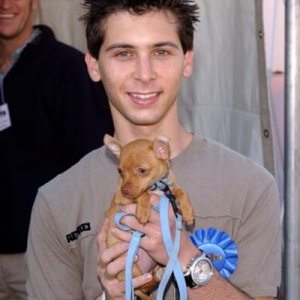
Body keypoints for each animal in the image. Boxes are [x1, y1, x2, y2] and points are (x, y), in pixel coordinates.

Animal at [104, 135, 196, 300]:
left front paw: (187, 211)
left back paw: (161, 273)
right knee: (141, 286)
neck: (158, 186)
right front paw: (143, 211)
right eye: (120, 171)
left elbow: (181, 192)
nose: (124, 189)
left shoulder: (171, 192)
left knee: (149, 283)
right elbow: (143, 193)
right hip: (129, 267)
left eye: (142, 170)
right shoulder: (123, 198)